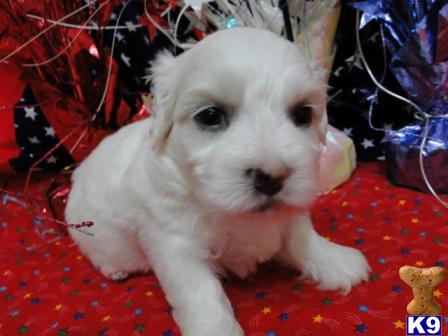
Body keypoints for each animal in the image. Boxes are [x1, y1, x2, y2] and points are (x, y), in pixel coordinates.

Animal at [65, 27, 370, 334]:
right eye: (210, 116)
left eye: (303, 113)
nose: (272, 176)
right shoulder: (175, 244)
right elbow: (201, 292)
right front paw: (217, 328)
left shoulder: (288, 213)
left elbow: (302, 238)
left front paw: (335, 260)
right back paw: (115, 269)